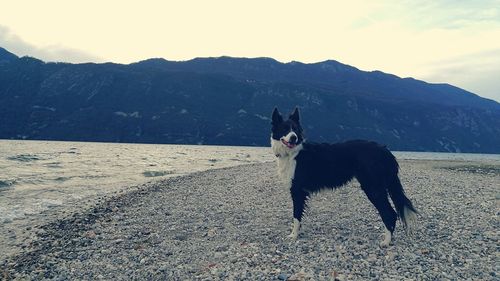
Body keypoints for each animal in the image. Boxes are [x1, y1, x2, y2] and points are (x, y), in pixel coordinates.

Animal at [272, 106, 416, 245]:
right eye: (285, 129)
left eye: (295, 130)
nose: (294, 137)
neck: (293, 153)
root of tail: (385, 150)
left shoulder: (297, 190)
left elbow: (296, 215)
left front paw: (293, 235)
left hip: (373, 187)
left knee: (389, 213)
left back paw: (386, 242)